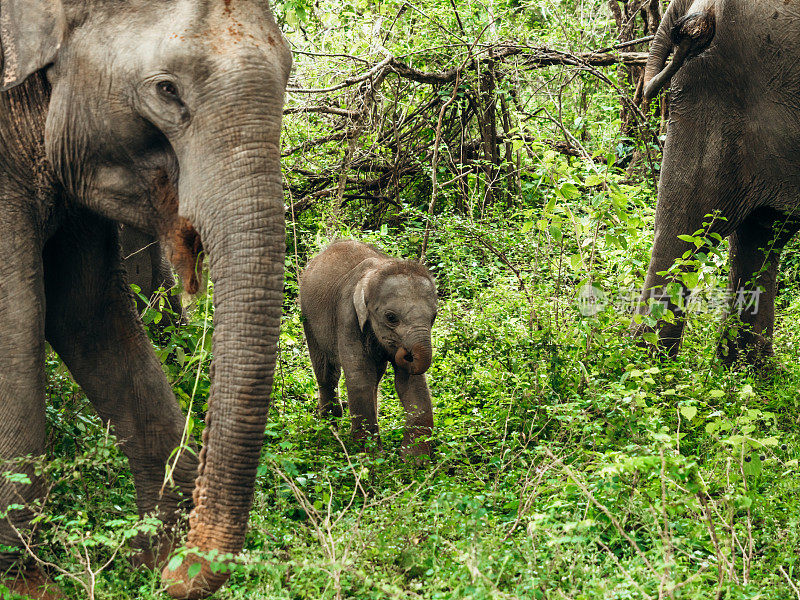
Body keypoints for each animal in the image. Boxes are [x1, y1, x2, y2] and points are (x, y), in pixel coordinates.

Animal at [0, 1, 290, 600]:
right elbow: (16, 312)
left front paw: (153, 554)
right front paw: (24, 581)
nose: (177, 573)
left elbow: (84, 311)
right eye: (166, 90)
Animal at [300, 239, 438, 454]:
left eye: (434, 317)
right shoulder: (347, 317)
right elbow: (360, 376)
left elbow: (411, 382)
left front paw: (413, 458)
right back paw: (329, 425)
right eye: (391, 317)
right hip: (308, 317)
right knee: (327, 372)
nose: (405, 353)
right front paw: (371, 457)